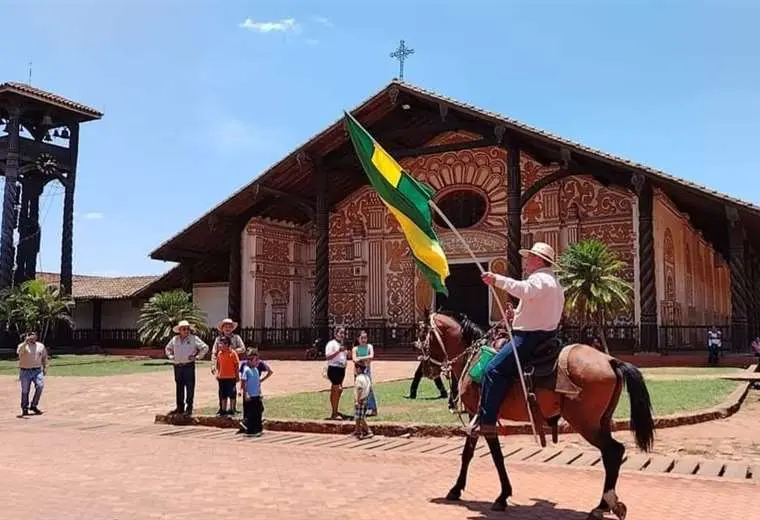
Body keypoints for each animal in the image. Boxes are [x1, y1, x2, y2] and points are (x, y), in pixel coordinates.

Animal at [418, 310, 656, 516]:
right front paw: (459, 489)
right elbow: (470, 453)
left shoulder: (482, 414)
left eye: (422, 337)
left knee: (613, 451)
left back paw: (603, 505)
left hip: (584, 422)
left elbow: (493, 456)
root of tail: (610, 360)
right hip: (602, 420)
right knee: (610, 455)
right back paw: (603, 504)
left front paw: (500, 496)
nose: (427, 369)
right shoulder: (477, 415)